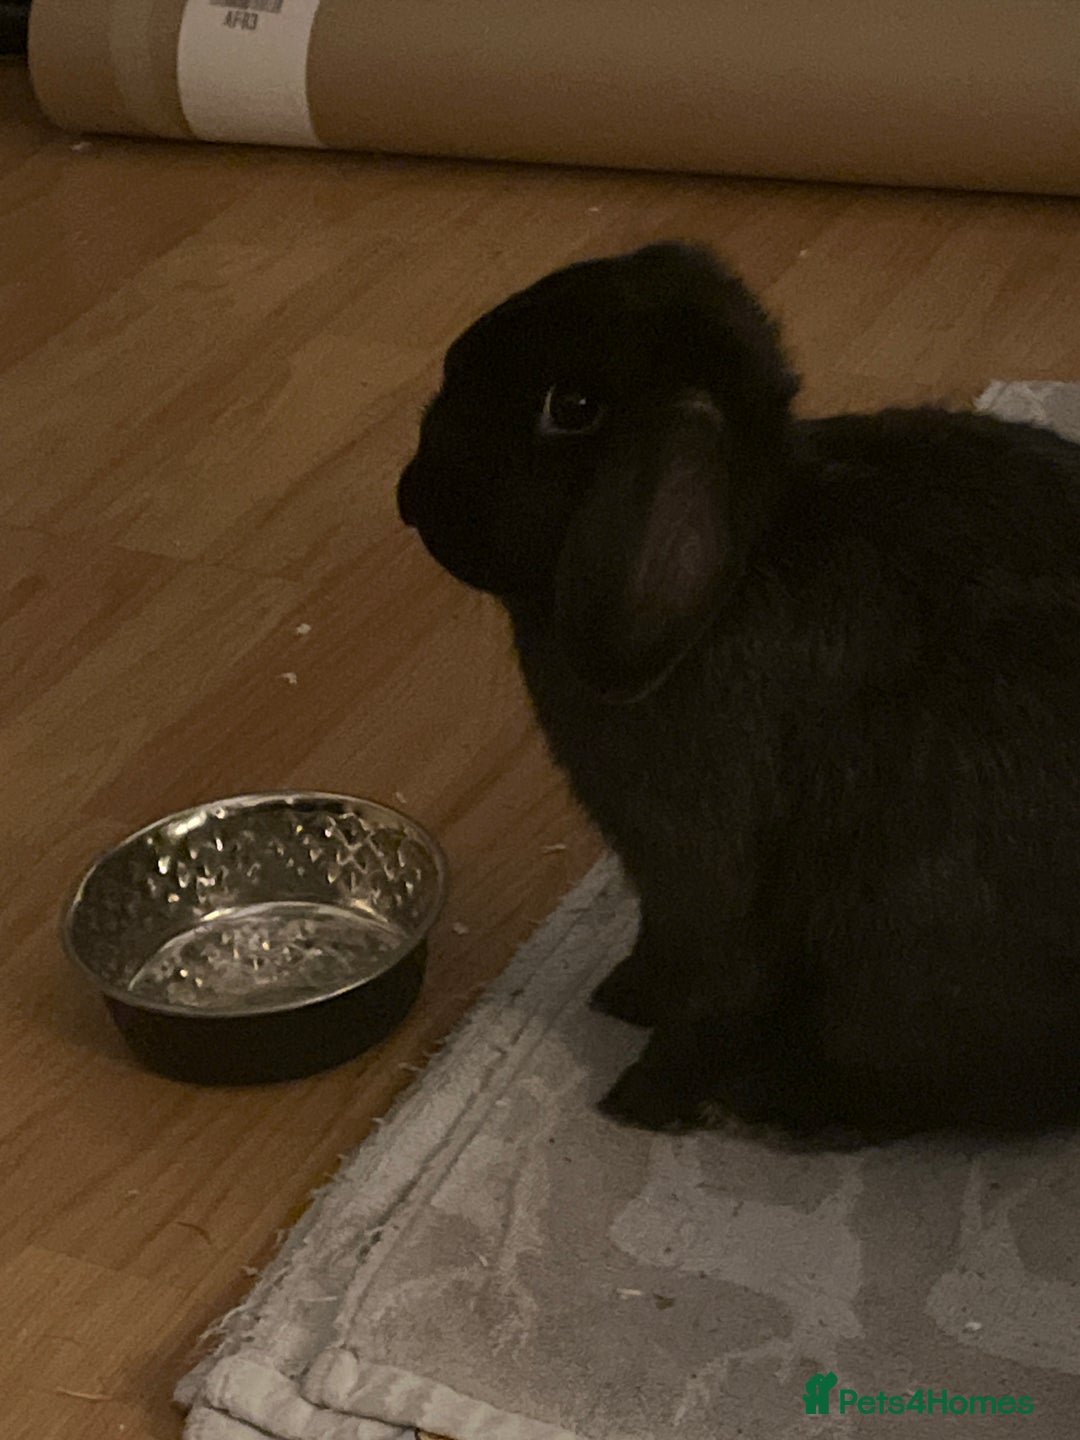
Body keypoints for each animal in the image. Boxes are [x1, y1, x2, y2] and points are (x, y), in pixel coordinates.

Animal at [397, 240, 1080, 1145]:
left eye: (571, 408)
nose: (409, 494)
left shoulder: (707, 878)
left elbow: (715, 991)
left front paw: (640, 1099)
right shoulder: (658, 885)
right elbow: (660, 950)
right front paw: (622, 996)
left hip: (908, 960)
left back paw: (760, 1104)